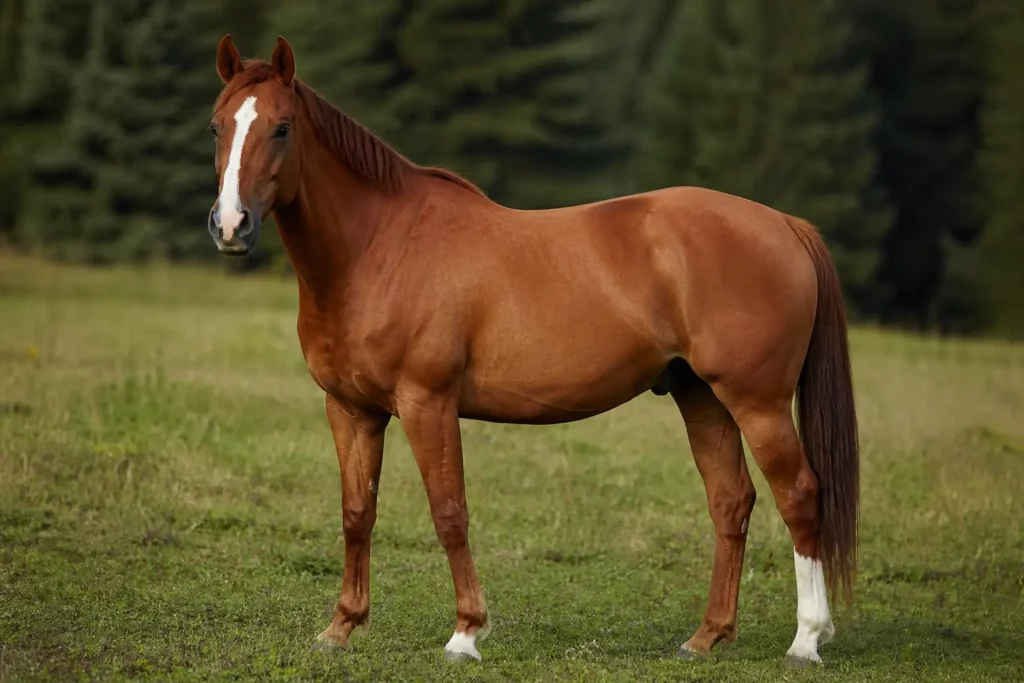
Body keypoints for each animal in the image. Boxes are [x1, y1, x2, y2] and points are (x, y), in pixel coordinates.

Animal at [206, 35, 859, 668]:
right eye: (217, 127)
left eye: (282, 127)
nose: (231, 226)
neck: (378, 248)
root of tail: (784, 224)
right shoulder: (351, 410)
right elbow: (356, 513)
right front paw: (341, 627)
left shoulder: (427, 404)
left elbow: (449, 512)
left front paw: (465, 634)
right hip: (702, 397)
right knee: (731, 502)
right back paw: (706, 638)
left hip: (757, 402)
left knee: (799, 496)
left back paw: (805, 641)